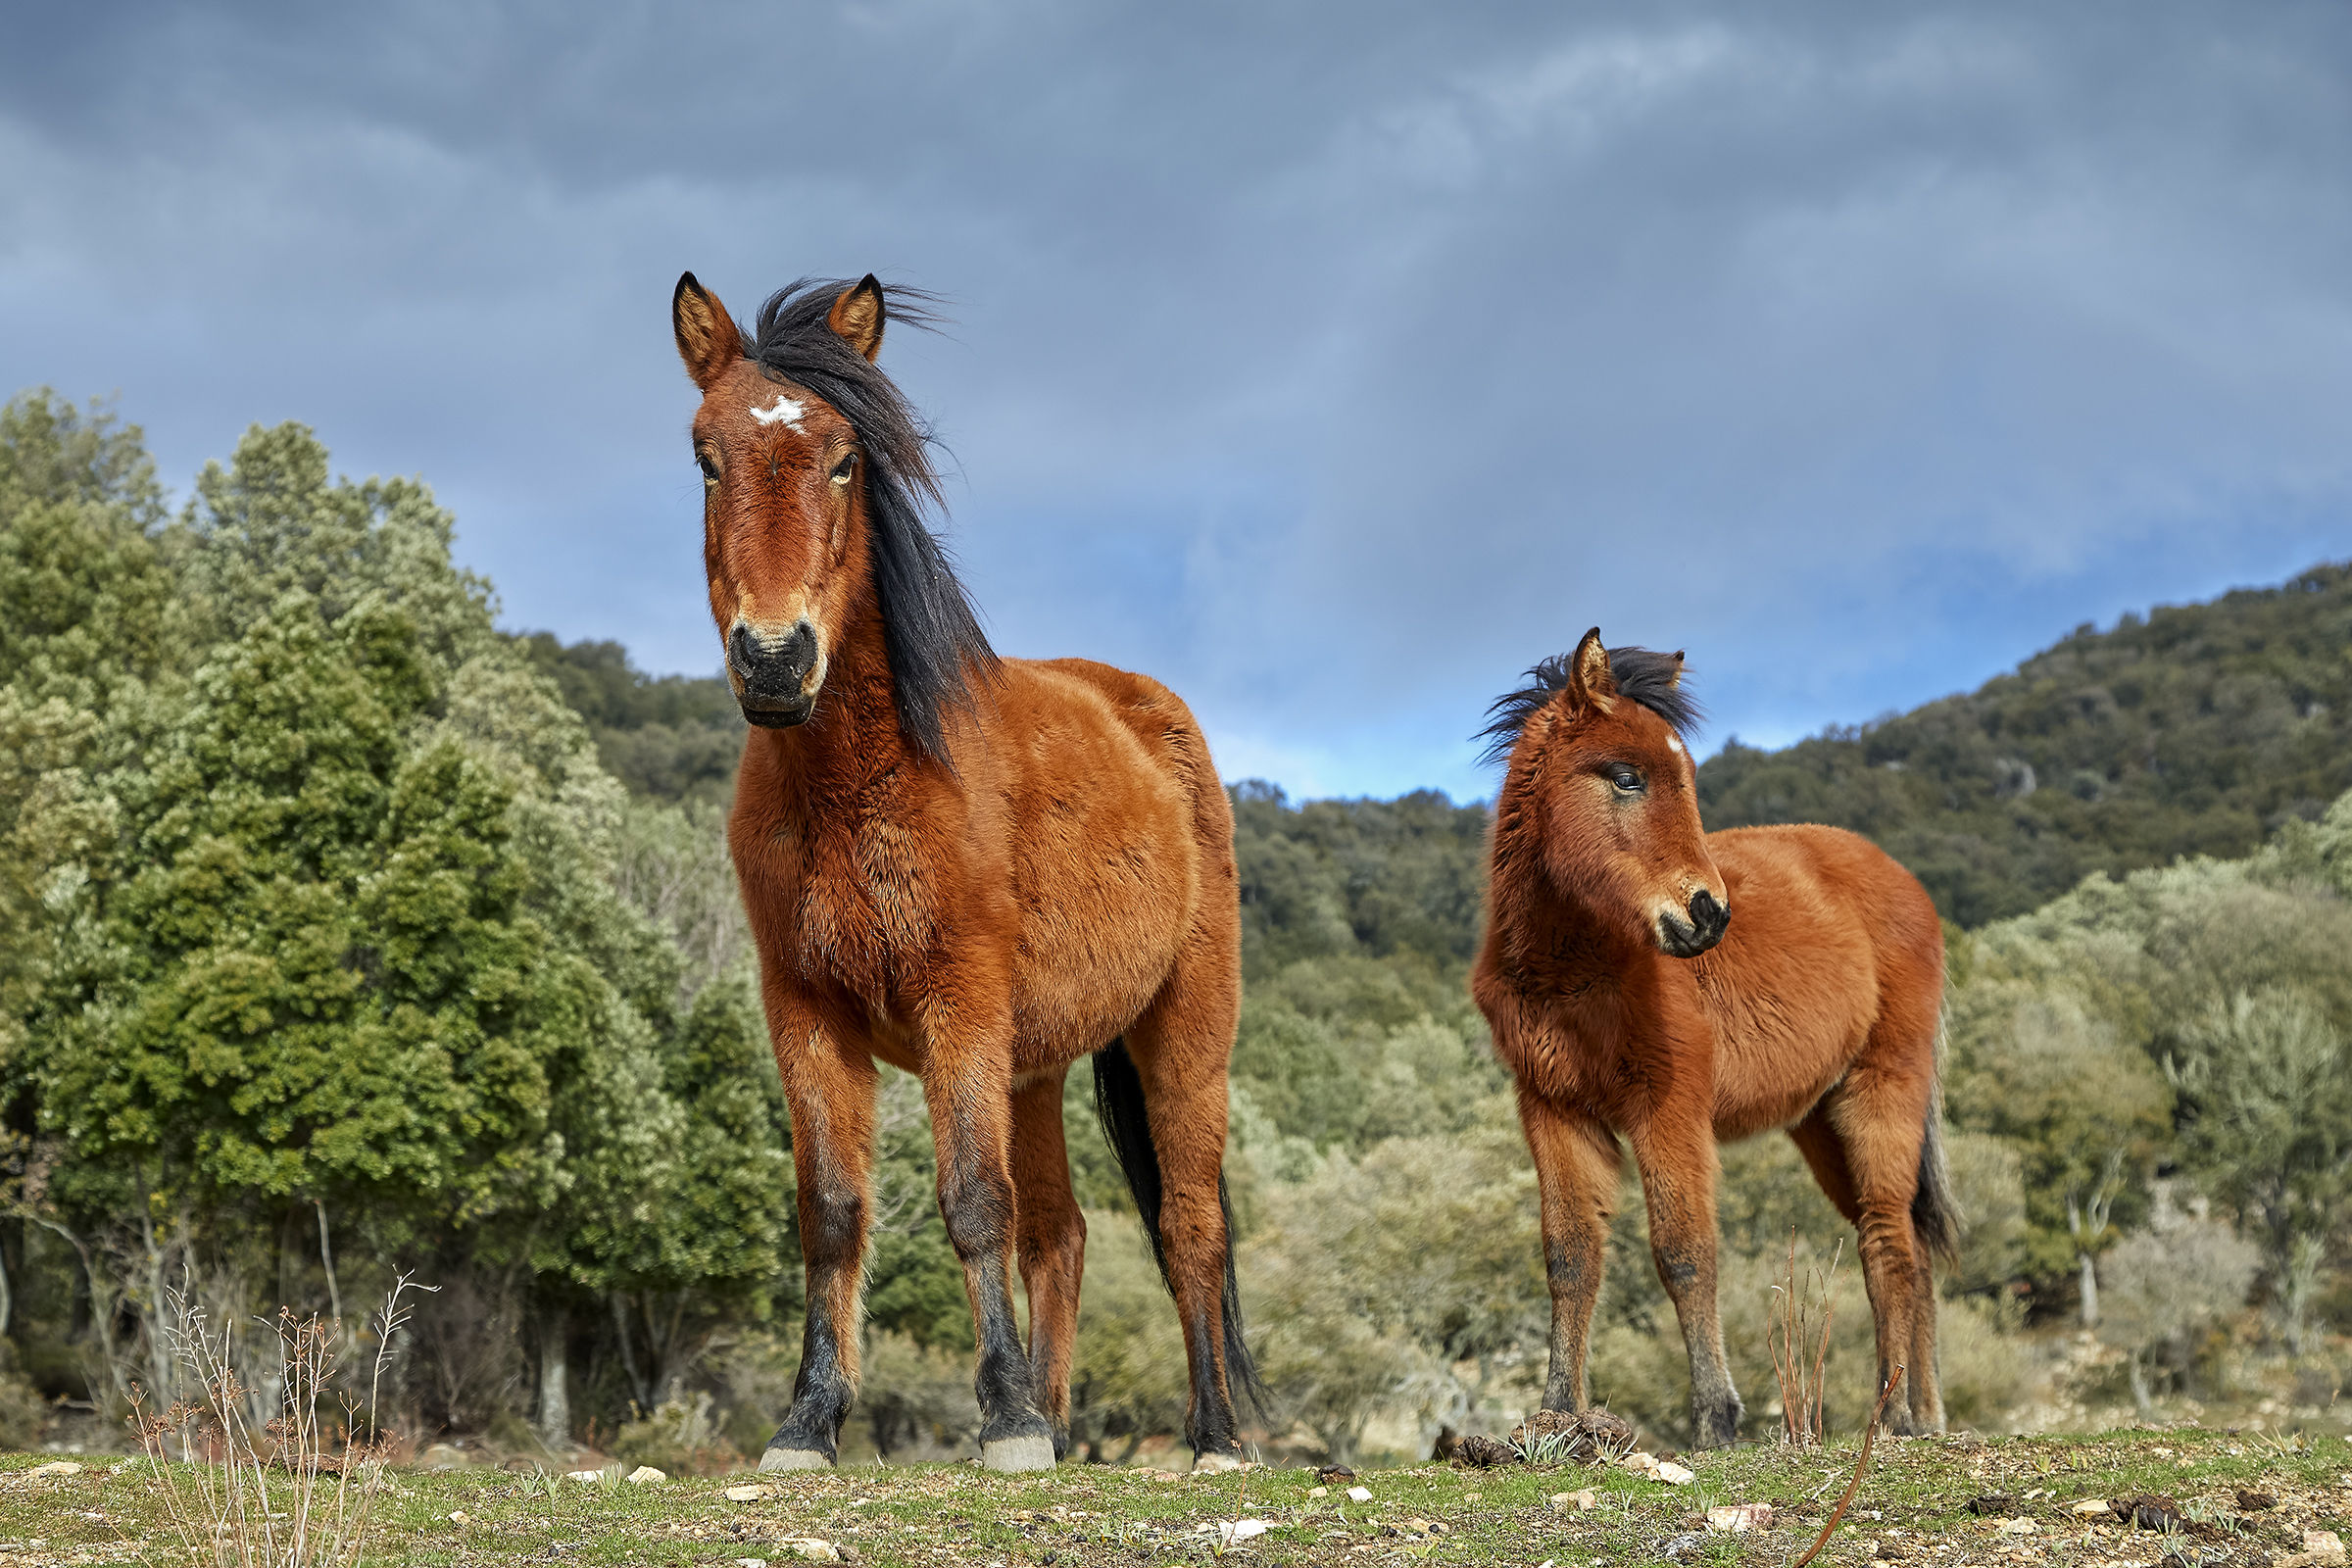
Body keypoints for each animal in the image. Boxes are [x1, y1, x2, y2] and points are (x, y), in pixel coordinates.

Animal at [670, 272, 1262, 1473]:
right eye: (706, 457)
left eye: (845, 459)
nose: (775, 659)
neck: (865, 780)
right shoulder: (805, 1008)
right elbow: (834, 1210)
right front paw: (812, 1420)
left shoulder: (963, 1001)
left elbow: (972, 1200)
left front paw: (1003, 1418)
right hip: (1036, 1067)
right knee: (1064, 1234)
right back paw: (1058, 1413)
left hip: (1181, 1032)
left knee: (1190, 1225)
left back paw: (1211, 1435)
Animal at [1470, 629, 1957, 1446]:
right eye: (1627, 776)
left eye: (1688, 775)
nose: (1708, 915)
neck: (1577, 969)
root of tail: (1905, 883)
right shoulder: (1553, 1111)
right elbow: (1571, 1258)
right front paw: (1556, 1415)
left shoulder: (1668, 1110)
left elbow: (1684, 1253)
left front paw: (1715, 1418)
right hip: (1818, 1120)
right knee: (1909, 1245)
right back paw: (1924, 1414)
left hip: (1882, 1088)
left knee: (1888, 1240)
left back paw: (1889, 1416)